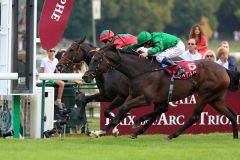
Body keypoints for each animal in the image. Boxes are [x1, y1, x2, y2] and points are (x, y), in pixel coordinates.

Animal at [82, 44, 238, 139]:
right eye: (91, 59)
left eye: (96, 59)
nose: (85, 76)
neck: (141, 71)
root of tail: (223, 69)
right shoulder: (132, 95)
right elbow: (122, 109)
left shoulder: (146, 98)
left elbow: (124, 108)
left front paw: (100, 131)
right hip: (215, 99)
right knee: (232, 115)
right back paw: (235, 136)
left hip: (205, 95)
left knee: (194, 117)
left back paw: (171, 135)